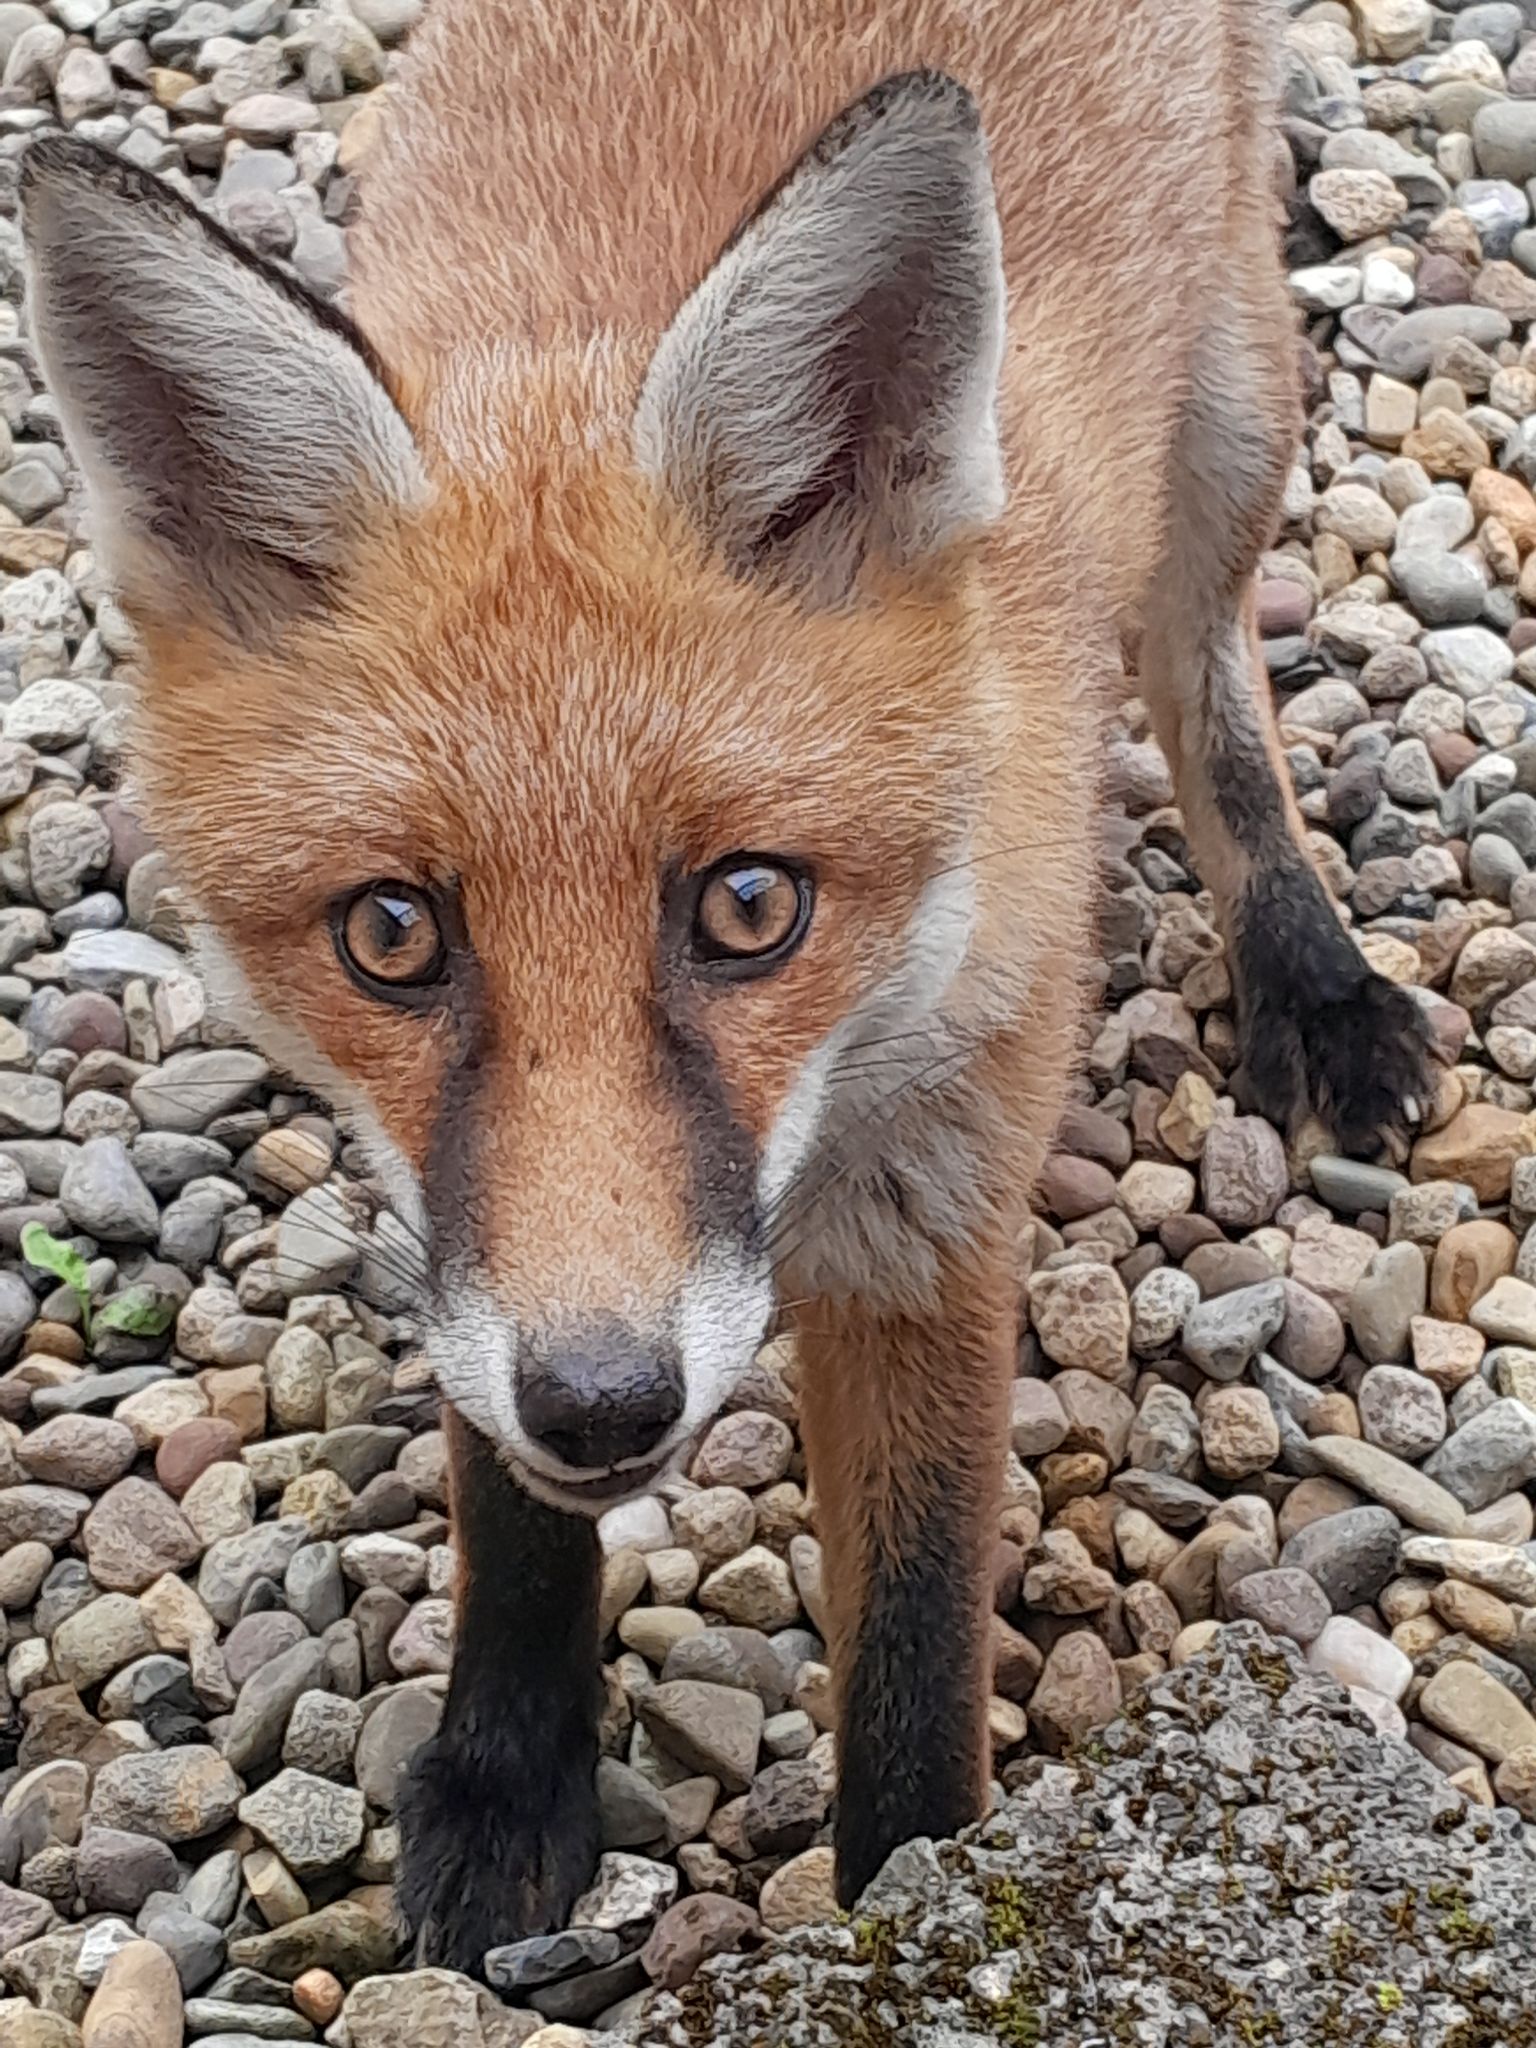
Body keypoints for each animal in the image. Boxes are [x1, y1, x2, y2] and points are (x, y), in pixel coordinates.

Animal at [20, 0, 1441, 1966]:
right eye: (393, 935)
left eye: (750, 907)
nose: (607, 1404)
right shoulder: (466, 1230)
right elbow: (507, 1513)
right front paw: (504, 1777)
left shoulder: (936, 1209)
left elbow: (912, 1652)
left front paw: (914, 1913)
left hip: (1231, 417)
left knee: (1213, 695)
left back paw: (1313, 973)